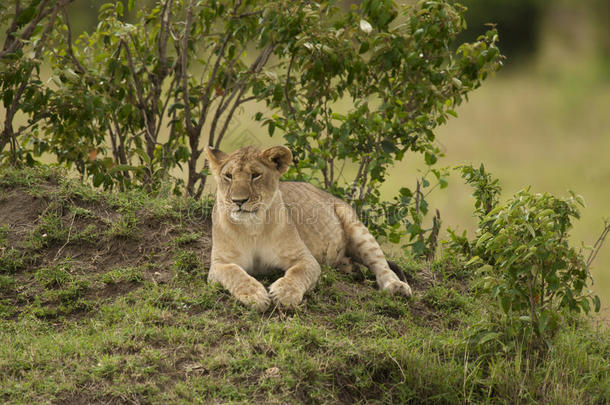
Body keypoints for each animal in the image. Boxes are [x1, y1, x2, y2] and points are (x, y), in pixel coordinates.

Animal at [205, 145, 414, 310]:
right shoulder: (219, 264)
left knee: (381, 265)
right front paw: (255, 296)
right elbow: (235, 274)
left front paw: (284, 294)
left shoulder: (305, 259)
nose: (238, 201)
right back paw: (351, 268)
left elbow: (297, 274)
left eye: (255, 175)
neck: (252, 227)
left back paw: (397, 286)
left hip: (357, 228)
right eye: (228, 176)